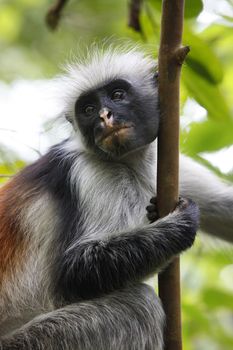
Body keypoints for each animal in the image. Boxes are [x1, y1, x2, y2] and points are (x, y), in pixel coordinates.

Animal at [0, 47, 232, 350]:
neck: (129, 162)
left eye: (118, 94)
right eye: (88, 109)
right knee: (141, 306)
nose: (104, 116)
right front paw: (182, 223)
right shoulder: (88, 172)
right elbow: (74, 271)